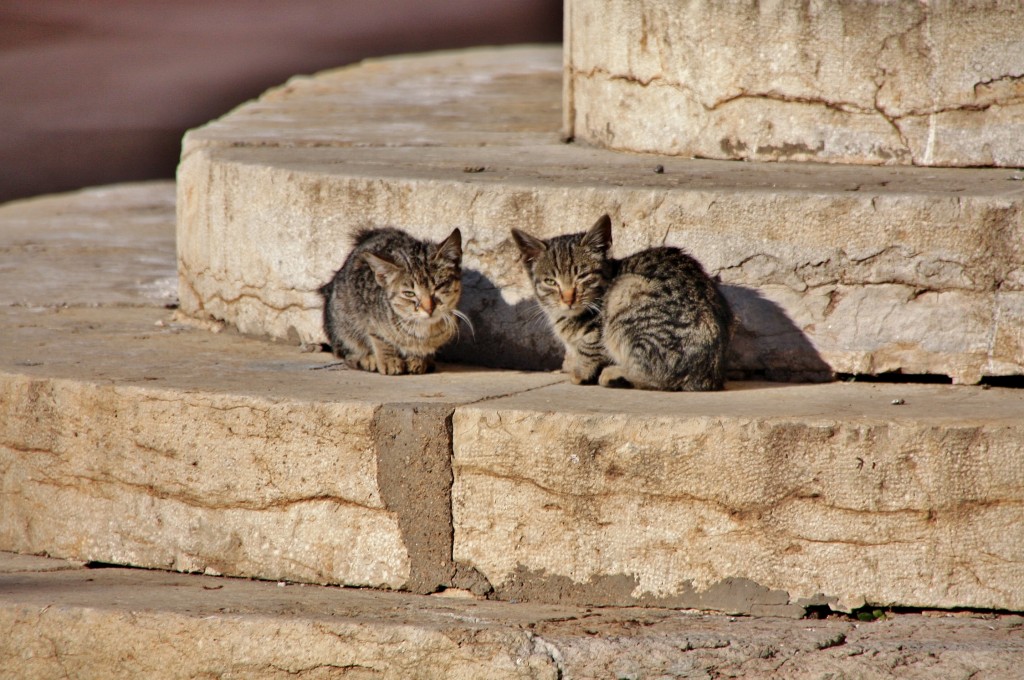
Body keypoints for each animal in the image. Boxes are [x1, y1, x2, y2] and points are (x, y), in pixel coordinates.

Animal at [319, 228, 464, 376]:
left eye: (439, 286)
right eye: (409, 293)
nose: (429, 308)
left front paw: (418, 359)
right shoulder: (369, 317)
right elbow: (380, 338)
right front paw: (390, 360)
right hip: (341, 321)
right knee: (347, 353)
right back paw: (367, 359)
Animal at [509, 213, 733, 393]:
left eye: (583, 276)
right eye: (550, 281)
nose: (568, 298)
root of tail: (707, 375)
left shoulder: (598, 329)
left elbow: (590, 348)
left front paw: (579, 372)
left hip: (626, 290)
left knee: (659, 377)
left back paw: (614, 375)